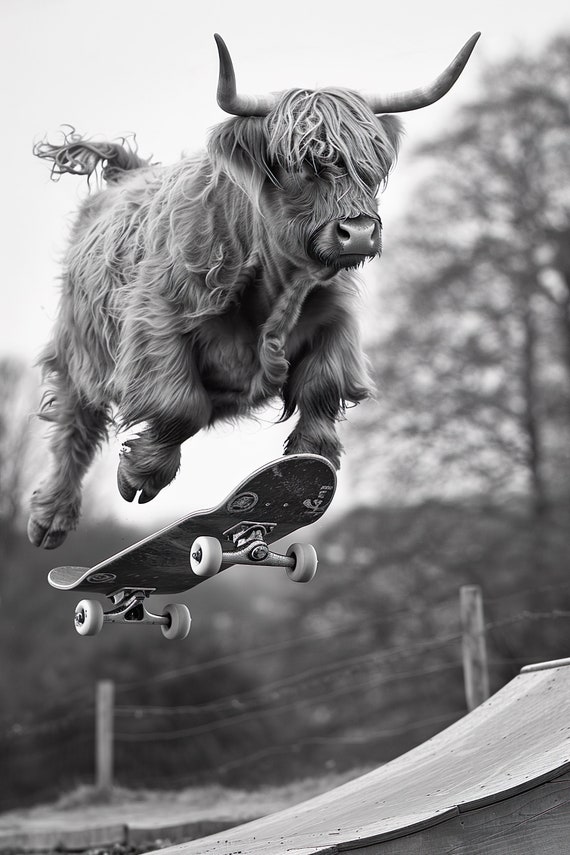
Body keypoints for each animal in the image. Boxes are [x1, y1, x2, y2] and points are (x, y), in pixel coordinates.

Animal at [28, 32, 480, 548]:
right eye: (301, 164)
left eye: (371, 166)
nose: (359, 233)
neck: (276, 285)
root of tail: (129, 172)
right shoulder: (156, 324)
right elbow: (180, 405)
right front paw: (139, 474)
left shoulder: (337, 323)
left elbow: (323, 385)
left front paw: (310, 465)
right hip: (77, 347)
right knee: (74, 424)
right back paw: (50, 518)